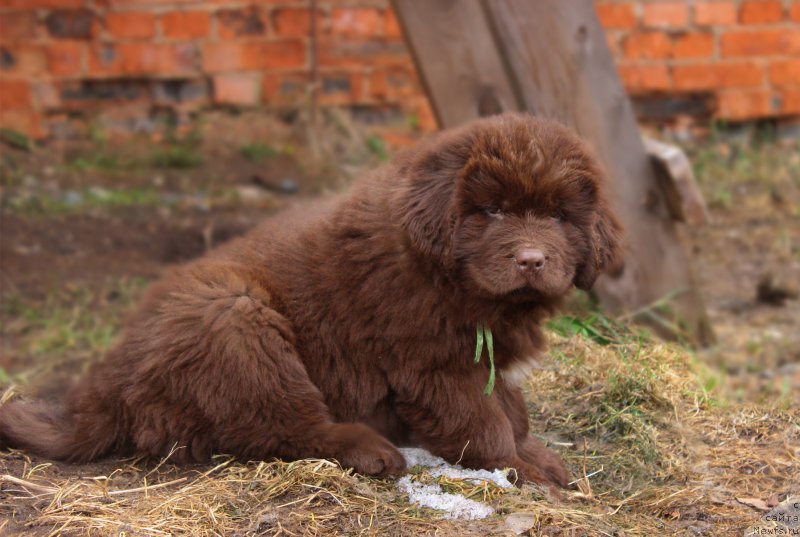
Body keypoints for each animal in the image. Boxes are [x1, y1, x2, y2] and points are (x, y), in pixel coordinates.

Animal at [0, 113, 624, 490]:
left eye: (557, 216)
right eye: (490, 211)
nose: (531, 260)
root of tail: (101, 389)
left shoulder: (491, 359)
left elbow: (512, 410)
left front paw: (537, 455)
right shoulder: (434, 363)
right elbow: (485, 422)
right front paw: (521, 467)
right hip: (236, 319)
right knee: (287, 425)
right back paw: (369, 449)